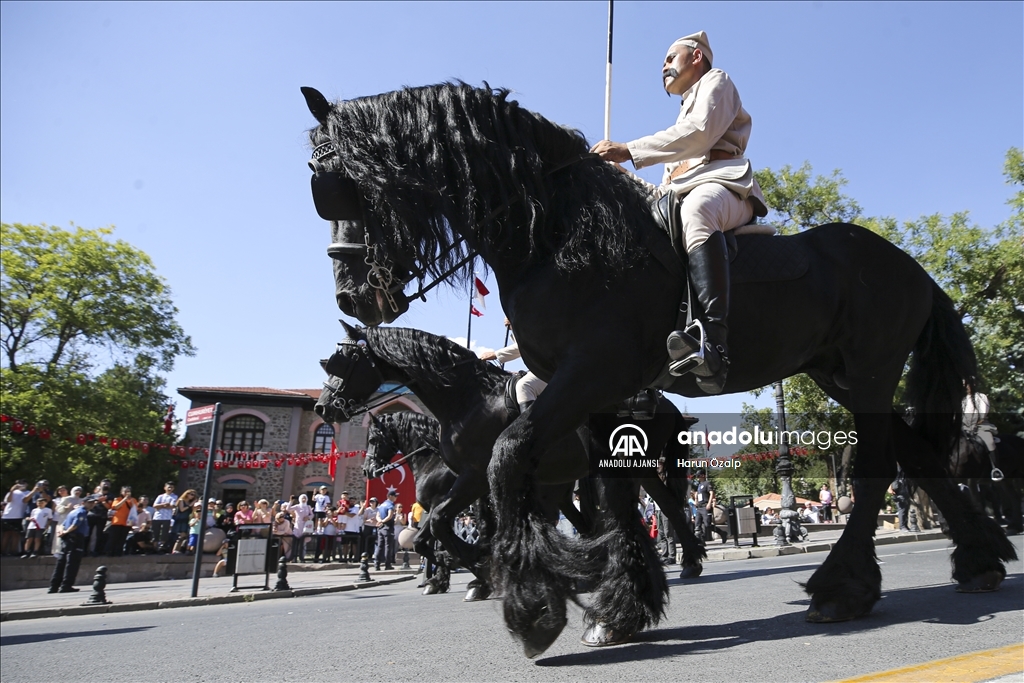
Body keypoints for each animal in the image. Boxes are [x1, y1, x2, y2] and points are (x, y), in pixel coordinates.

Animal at [362, 411, 454, 593]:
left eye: (372, 440)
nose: (366, 470)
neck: (434, 462)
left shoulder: (436, 507)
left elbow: (421, 542)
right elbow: (440, 542)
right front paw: (440, 579)